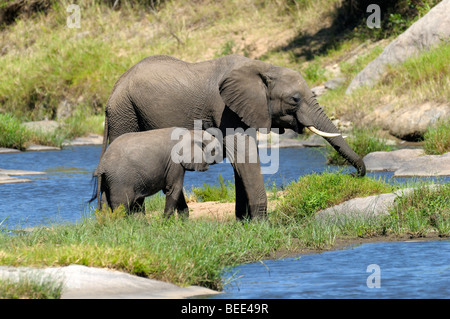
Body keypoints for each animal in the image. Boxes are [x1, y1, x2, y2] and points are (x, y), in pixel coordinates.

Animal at [92, 127, 221, 218]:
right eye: (214, 149)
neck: (191, 132)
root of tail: (102, 165)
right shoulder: (174, 163)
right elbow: (173, 188)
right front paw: (165, 223)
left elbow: (177, 191)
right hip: (120, 179)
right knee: (122, 205)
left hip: (108, 180)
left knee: (106, 202)